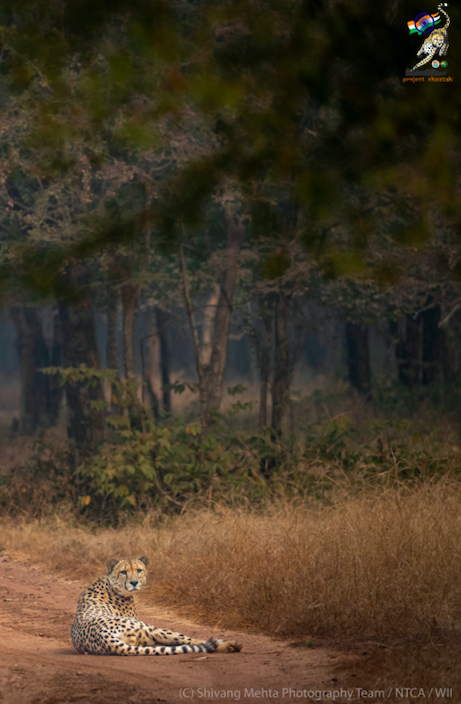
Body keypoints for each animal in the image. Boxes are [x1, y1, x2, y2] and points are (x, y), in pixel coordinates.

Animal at [71, 556, 242, 656]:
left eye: (139, 570)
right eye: (123, 572)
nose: (134, 582)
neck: (112, 585)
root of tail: (100, 634)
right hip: (150, 627)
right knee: (190, 640)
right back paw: (228, 645)